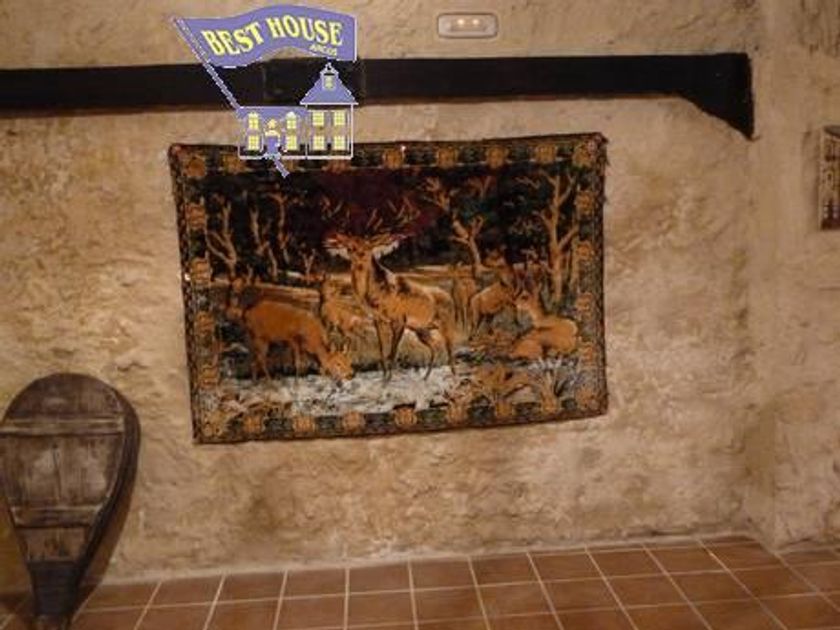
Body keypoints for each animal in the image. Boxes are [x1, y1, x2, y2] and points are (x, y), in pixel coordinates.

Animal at [324, 204, 456, 380]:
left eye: (369, 247)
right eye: (350, 247)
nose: (360, 258)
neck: (376, 297)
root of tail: (449, 297)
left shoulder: (400, 319)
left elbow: (393, 352)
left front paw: (387, 380)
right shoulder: (377, 319)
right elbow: (382, 350)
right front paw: (383, 377)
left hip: (446, 323)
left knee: (450, 350)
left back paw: (454, 377)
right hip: (421, 329)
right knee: (435, 346)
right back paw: (425, 378)